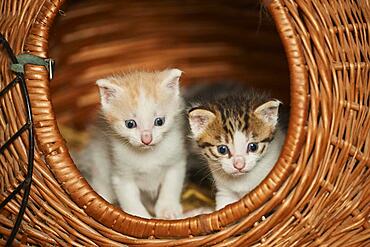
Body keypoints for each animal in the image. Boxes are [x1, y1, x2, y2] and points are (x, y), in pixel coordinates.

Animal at [73, 68, 186, 219]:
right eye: (130, 124)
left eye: (159, 121)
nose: (146, 139)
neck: (147, 154)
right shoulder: (121, 174)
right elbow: (129, 198)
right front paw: (140, 218)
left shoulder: (176, 161)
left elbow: (171, 186)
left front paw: (168, 209)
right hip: (98, 164)